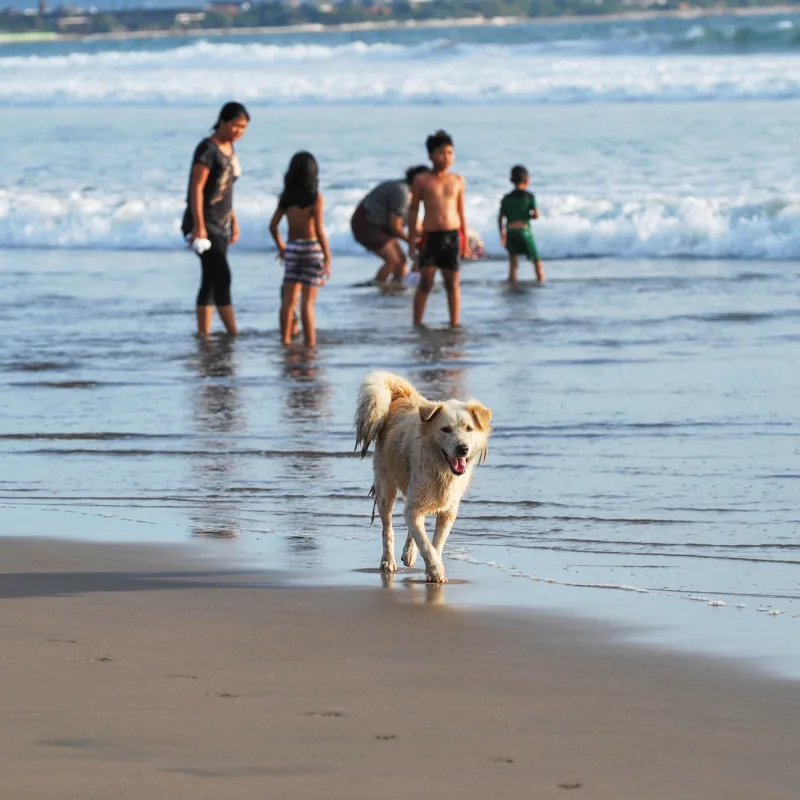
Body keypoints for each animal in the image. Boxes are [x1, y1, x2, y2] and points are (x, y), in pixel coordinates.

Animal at [354, 372, 490, 584]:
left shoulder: (448, 511)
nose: (463, 448)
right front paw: (436, 571)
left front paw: (431, 566)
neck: (441, 468)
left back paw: (409, 552)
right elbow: (426, 544)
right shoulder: (414, 501)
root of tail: (404, 396)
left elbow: (435, 543)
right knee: (388, 528)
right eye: (446, 429)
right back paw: (388, 561)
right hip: (385, 488)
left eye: (469, 429)